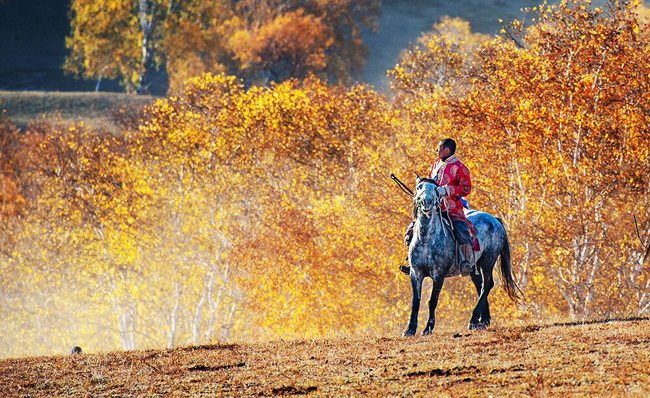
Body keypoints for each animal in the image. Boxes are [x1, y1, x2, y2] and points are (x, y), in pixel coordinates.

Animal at [402, 179, 520, 334]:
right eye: (419, 187)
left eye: (436, 189)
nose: (426, 201)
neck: (426, 239)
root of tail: (494, 220)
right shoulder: (415, 273)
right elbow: (416, 301)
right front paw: (410, 330)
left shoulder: (438, 275)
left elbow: (432, 301)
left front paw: (428, 328)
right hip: (474, 267)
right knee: (480, 286)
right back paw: (483, 321)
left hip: (487, 261)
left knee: (487, 285)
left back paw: (474, 320)